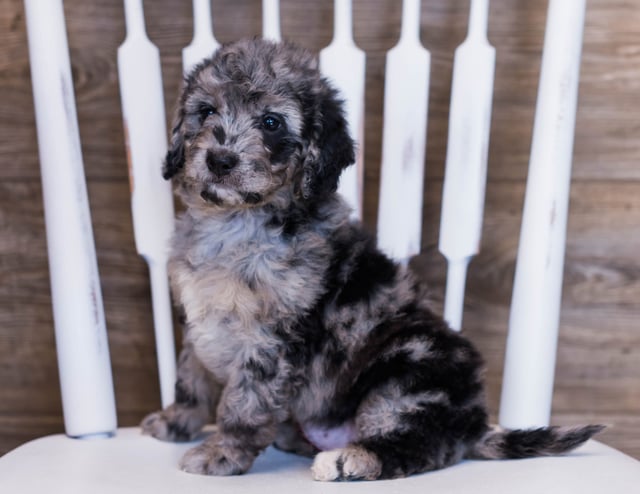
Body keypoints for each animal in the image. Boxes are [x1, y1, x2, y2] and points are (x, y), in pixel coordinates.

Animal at [141, 39, 604, 482]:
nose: (220, 160)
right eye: (206, 111)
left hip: (410, 375)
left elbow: (244, 402)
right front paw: (176, 422)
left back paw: (349, 461)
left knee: (415, 444)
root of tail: (473, 424)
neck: (236, 221)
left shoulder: (272, 341)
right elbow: (189, 379)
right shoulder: (197, 320)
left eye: (271, 122)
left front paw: (222, 452)